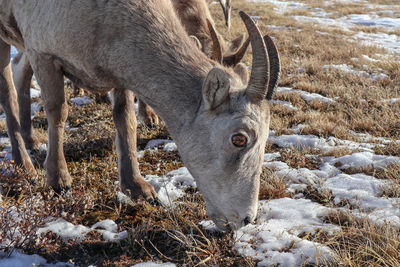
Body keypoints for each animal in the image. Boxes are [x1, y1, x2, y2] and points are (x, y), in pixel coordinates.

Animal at [0, 0, 280, 230]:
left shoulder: (119, 77)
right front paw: (59, 181)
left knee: (19, 72)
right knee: (8, 90)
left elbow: (125, 119)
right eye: (239, 138)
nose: (245, 219)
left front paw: (138, 188)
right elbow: (58, 112)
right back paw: (24, 164)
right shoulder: (43, 54)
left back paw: (31, 141)